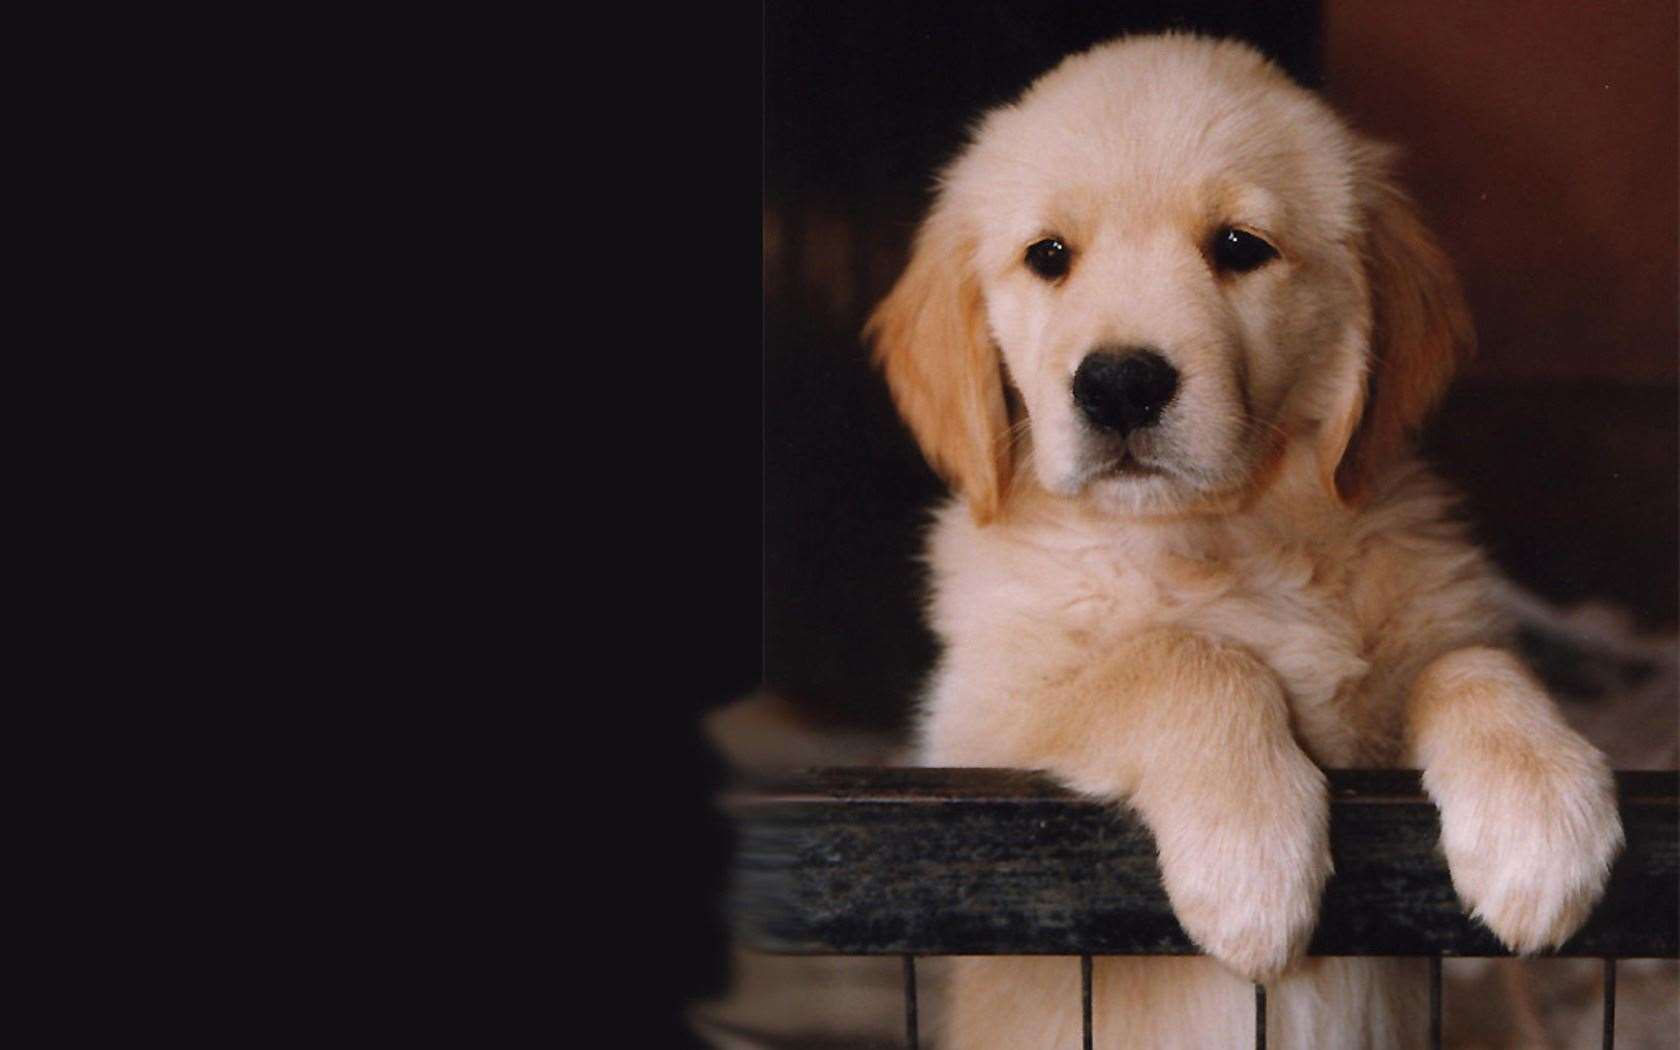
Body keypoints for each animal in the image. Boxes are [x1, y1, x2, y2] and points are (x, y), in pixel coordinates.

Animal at [866, 32, 1626, 1048]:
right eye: (1049, 256)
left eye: (1238, 247)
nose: (1119, 384)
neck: (1221, 541)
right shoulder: (974, 738)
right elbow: (1180, 657)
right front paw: (1250, 856)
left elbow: (1469, 662)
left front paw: (1540, 807)